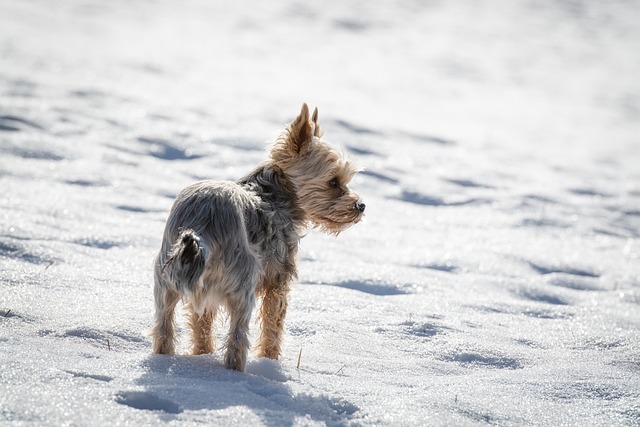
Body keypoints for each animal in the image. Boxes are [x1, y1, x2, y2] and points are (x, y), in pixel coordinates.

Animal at [150, 103, 364, 372]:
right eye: (333, 182)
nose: (361, 205)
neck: (275, 193)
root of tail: (203, 224)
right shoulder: (278, 280)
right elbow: (274, 324)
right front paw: (270, 359)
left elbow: (202, 324)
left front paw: (202, 354)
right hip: (243, 283)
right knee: (238, 337)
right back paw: (236, 373)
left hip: (167, 276)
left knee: (164, 325)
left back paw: (164, 359)